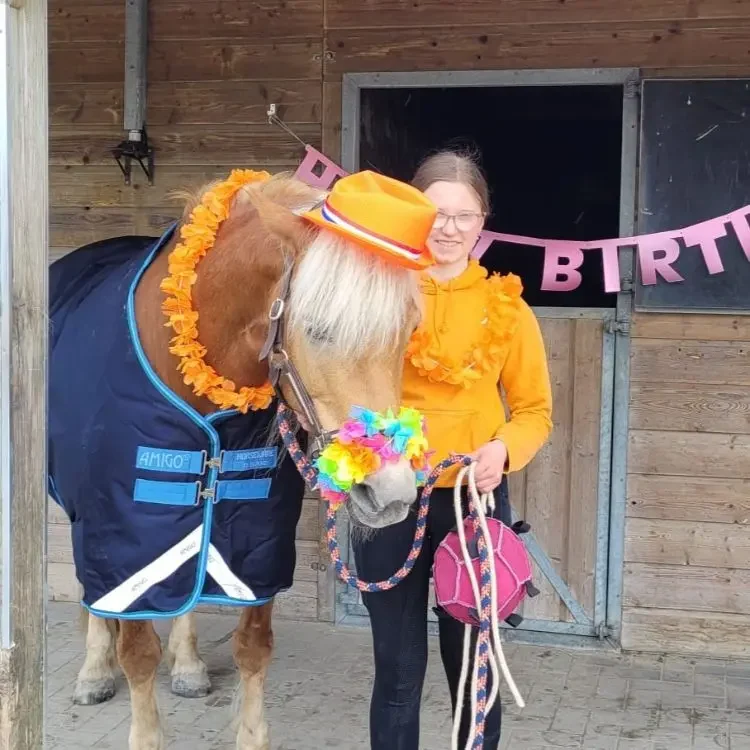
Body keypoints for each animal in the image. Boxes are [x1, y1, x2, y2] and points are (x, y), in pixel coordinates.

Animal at [48, 169, 431, 750]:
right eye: (318, 329)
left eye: (408, 329)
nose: (390, 493)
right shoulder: (122, 529)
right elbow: (136, 653)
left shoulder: (258, 539)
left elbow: (253, 646)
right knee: (90, 589)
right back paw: (94, 671)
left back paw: (187, 667)